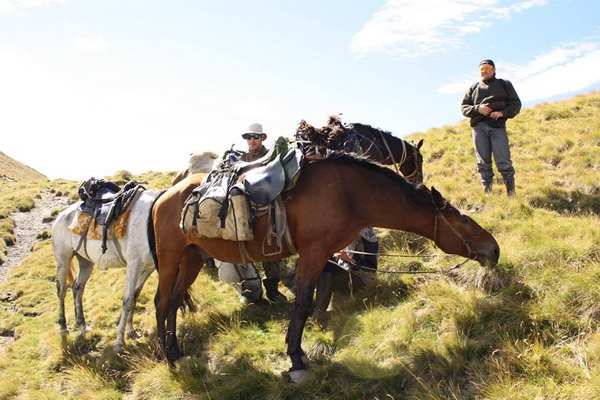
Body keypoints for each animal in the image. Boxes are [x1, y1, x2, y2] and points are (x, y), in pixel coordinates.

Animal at [53, 190, 161, 350]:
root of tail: (60, 217)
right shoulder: (134, 264)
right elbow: (128, 300)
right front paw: (119, 342)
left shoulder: (149, 267)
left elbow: (135, 295)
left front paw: (131, 331)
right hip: (63, 259)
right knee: (62, 290)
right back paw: (63, 327)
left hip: (85, 261)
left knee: (78, 288)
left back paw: (83, 325)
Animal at [149, 152, 496, 382]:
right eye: (463, 221)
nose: (494, 249)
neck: (348, 193)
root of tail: (164, 195)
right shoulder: (314, 252)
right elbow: (303, 302)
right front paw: (296, 359)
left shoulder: (323, 254)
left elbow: (309, 299)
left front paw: (297, 353)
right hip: (170, 258)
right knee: (162, 301)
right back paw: (167, 358)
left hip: (192, 258)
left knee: (175, 300)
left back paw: (176, 351)